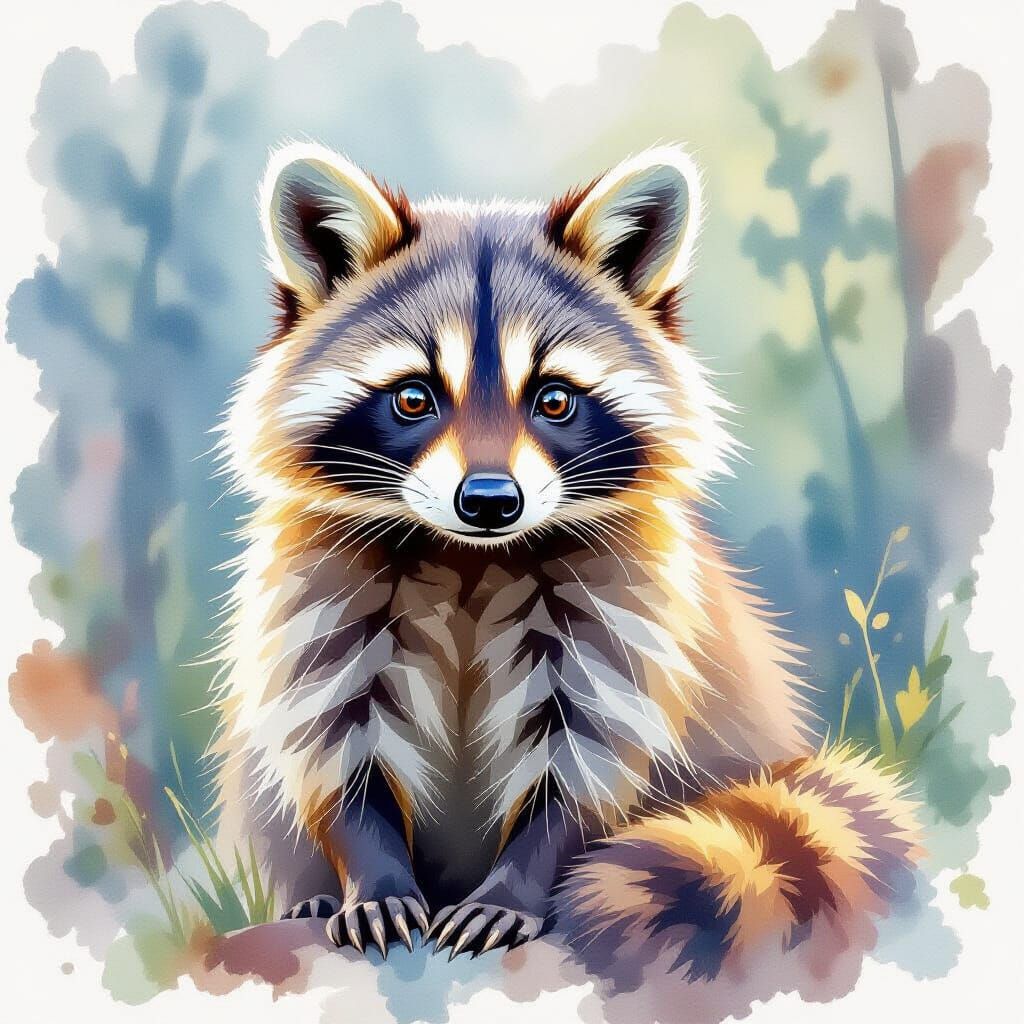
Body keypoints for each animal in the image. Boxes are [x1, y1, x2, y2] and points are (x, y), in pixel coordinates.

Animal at [210, 143, 920, 978]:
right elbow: (333, 744)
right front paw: (372, 876)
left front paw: (516, 886)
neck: (471, 557)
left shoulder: (627, 603)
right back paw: (311, 895)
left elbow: (587, 758)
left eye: (554, 400)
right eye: (414, 398)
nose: (490, 501)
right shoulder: (319, 589)